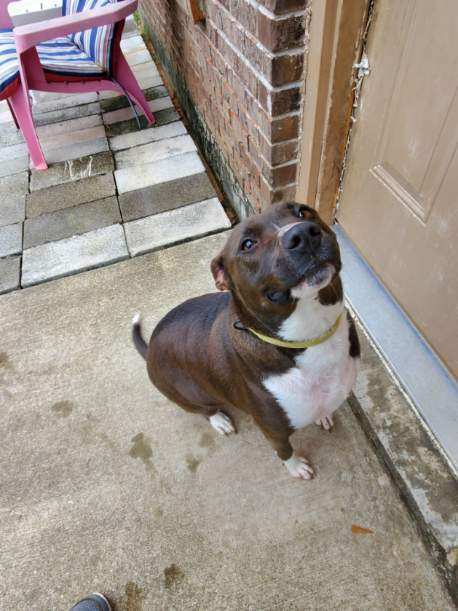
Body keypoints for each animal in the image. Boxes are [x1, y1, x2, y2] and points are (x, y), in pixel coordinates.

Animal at [131, 203, 360, 480]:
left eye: (303, 212)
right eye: (248, 244)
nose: (303, 234)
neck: (312, 336)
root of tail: (150, 347)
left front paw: (323, 416)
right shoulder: (273, 431)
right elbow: (285, 452)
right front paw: (296, 467)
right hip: (187, 395)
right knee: (204, 410)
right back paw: (219, 420)